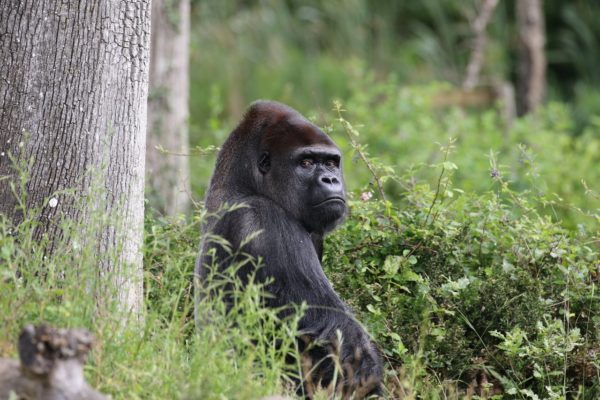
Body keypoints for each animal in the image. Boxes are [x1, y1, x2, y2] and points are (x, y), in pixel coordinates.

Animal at [197, 101, 384, 396]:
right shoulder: (266, 220)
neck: (244, 183)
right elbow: (337, 330)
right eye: (305, 163)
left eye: (330, 162)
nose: (331, 179)